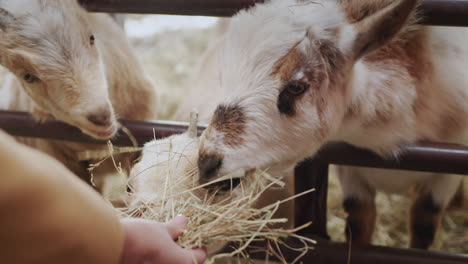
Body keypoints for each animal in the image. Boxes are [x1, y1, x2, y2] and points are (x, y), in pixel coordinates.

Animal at [196, 0, 468, 250]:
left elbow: (424, 223)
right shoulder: (349, 169)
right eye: (224, 77)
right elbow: (358, 222)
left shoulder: (446, 173)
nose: (206, 163)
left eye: (296, 87)